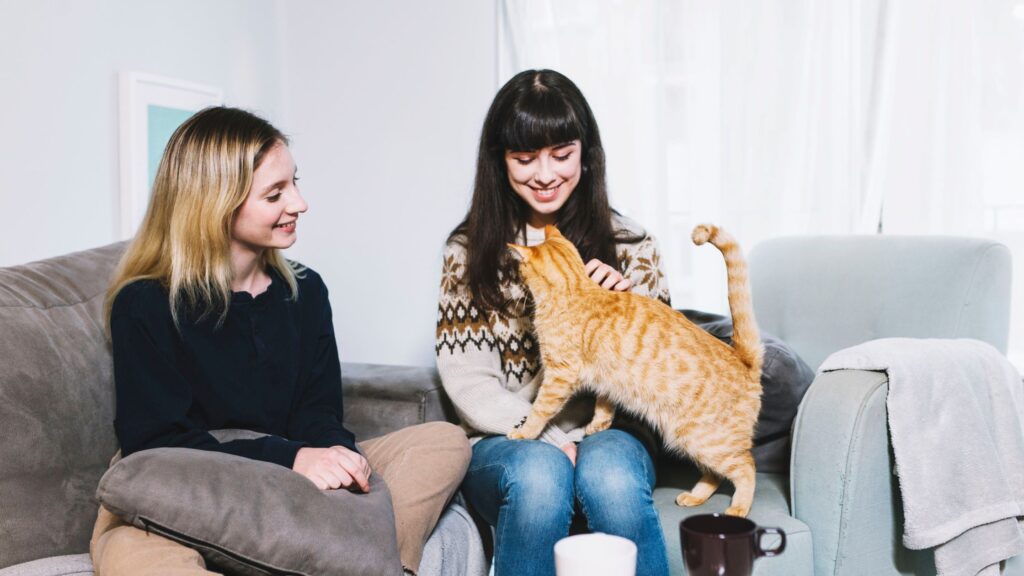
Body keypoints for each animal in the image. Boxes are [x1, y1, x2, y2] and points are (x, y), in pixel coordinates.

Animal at [507, 224, 765, 516]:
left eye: (520, 268)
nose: (515, 279)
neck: (577, 289)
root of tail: (742, 358)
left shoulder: (559, 375)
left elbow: (539, 410)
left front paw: (524, 432)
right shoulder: (606, 378)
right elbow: (604, 404)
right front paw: (598, 425)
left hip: (705, 440)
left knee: (746, 467)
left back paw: (739, 508)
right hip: (693, 443)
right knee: (715, 474)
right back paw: (694, 496)